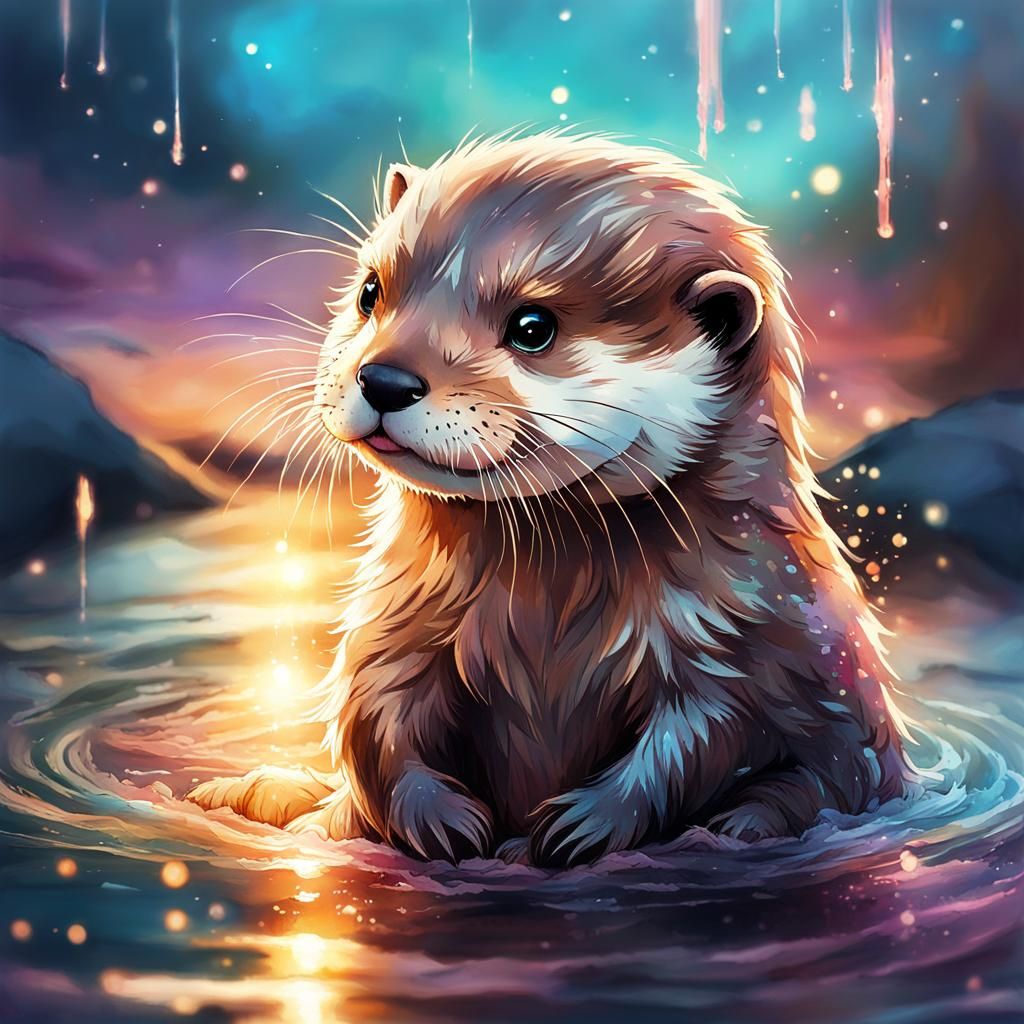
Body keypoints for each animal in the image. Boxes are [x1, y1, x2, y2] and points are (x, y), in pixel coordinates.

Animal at [188, 133, 911, 866]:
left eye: (533, 326)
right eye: (370, 291)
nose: (385, 378)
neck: (546, 610)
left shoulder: (731, 627)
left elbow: (699, 738)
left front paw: (579, 827)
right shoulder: (397, 617)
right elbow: (373, 716)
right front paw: (442, 823)